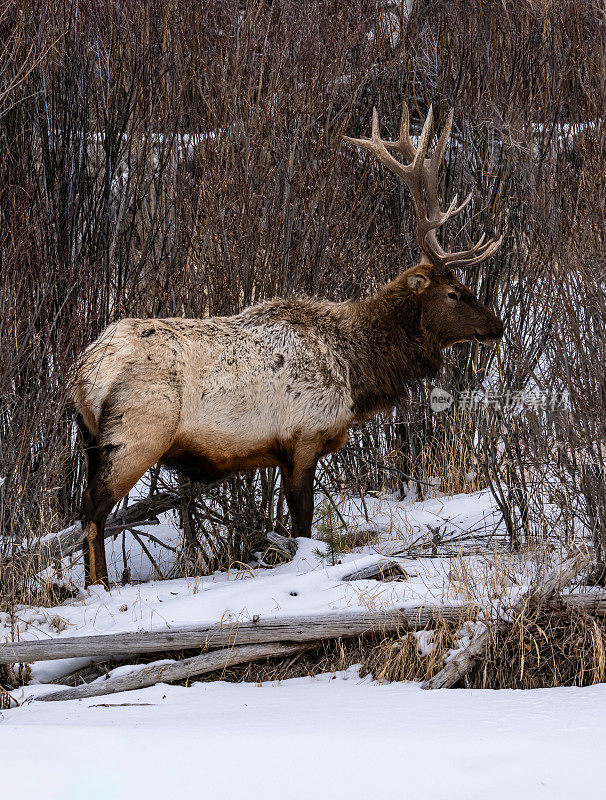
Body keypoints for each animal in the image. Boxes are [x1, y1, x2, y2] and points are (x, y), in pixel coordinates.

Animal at [73, 103, 506, 584]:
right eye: (454, 293)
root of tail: (84, 371)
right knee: (92, 509)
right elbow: (303, 524)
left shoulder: (281, 451)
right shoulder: (305, 436)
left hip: (91, 440)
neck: (356, 371)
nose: (497, 325)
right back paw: (99, 586)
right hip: (136, 433)